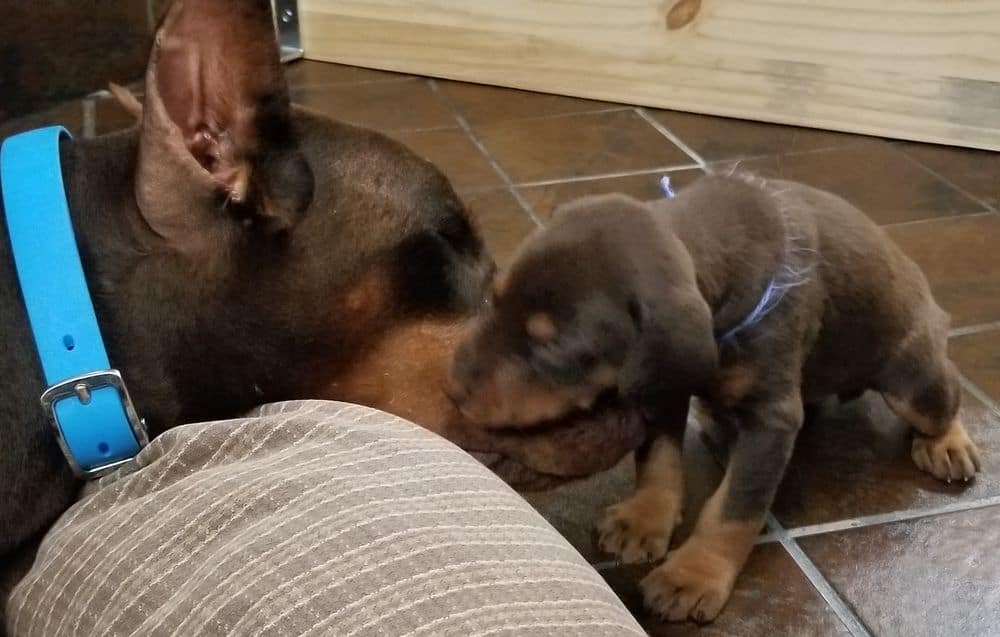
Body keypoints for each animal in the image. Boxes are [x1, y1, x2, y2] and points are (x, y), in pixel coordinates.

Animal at [450, 173, 980, 620]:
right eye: (494, 296)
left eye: (555, 347)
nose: (453, 388)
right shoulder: (663, 383)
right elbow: (659, 459)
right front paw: (644, 519)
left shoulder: (770, 420)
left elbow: (734, 509)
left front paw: (693, 575)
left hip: (913, 378)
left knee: (945, 389)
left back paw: (948, 444)